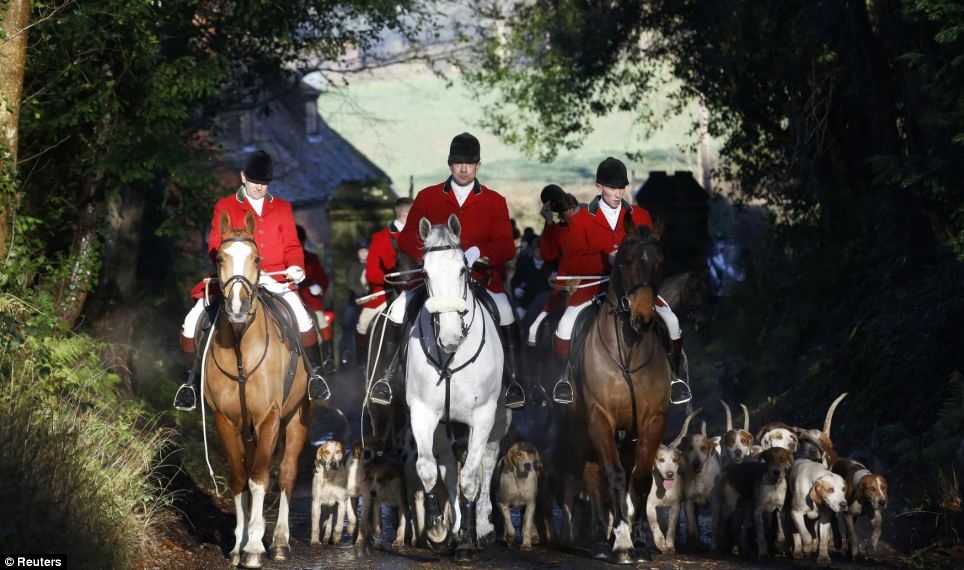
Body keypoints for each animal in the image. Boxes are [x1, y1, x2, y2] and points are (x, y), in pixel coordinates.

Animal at [203, 211, 308, 564]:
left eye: (257, 258)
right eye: (220, 258)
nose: (236, 307)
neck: (240, 347)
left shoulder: (269, 419)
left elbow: (261, 478)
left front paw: (253, 547)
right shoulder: (226, 421)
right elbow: (239, 479)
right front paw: (240, 543)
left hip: (297, 418)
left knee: (286, 472)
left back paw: (279, 541)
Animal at [406, 214, 508, 560]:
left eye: (463, 270)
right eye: (425, 272)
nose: (449, 336)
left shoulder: (484, 416)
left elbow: (472, 476)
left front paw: (467, 539)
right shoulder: (423, 413)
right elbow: (428, 469)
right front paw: (439, 530)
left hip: (500, 418)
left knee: (486, 462)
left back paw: (482, 527)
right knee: (448, 467)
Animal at [556, 215, 672, 560]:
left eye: (660, 261)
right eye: (627, 261)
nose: (643, 318)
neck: (628, 354)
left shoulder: (652, 422)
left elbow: (641, 480)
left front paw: (641, 541)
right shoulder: (600, 418)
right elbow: (614, 476)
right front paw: (621, 541)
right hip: (582, 432)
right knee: (595, 475)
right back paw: (599, 540)